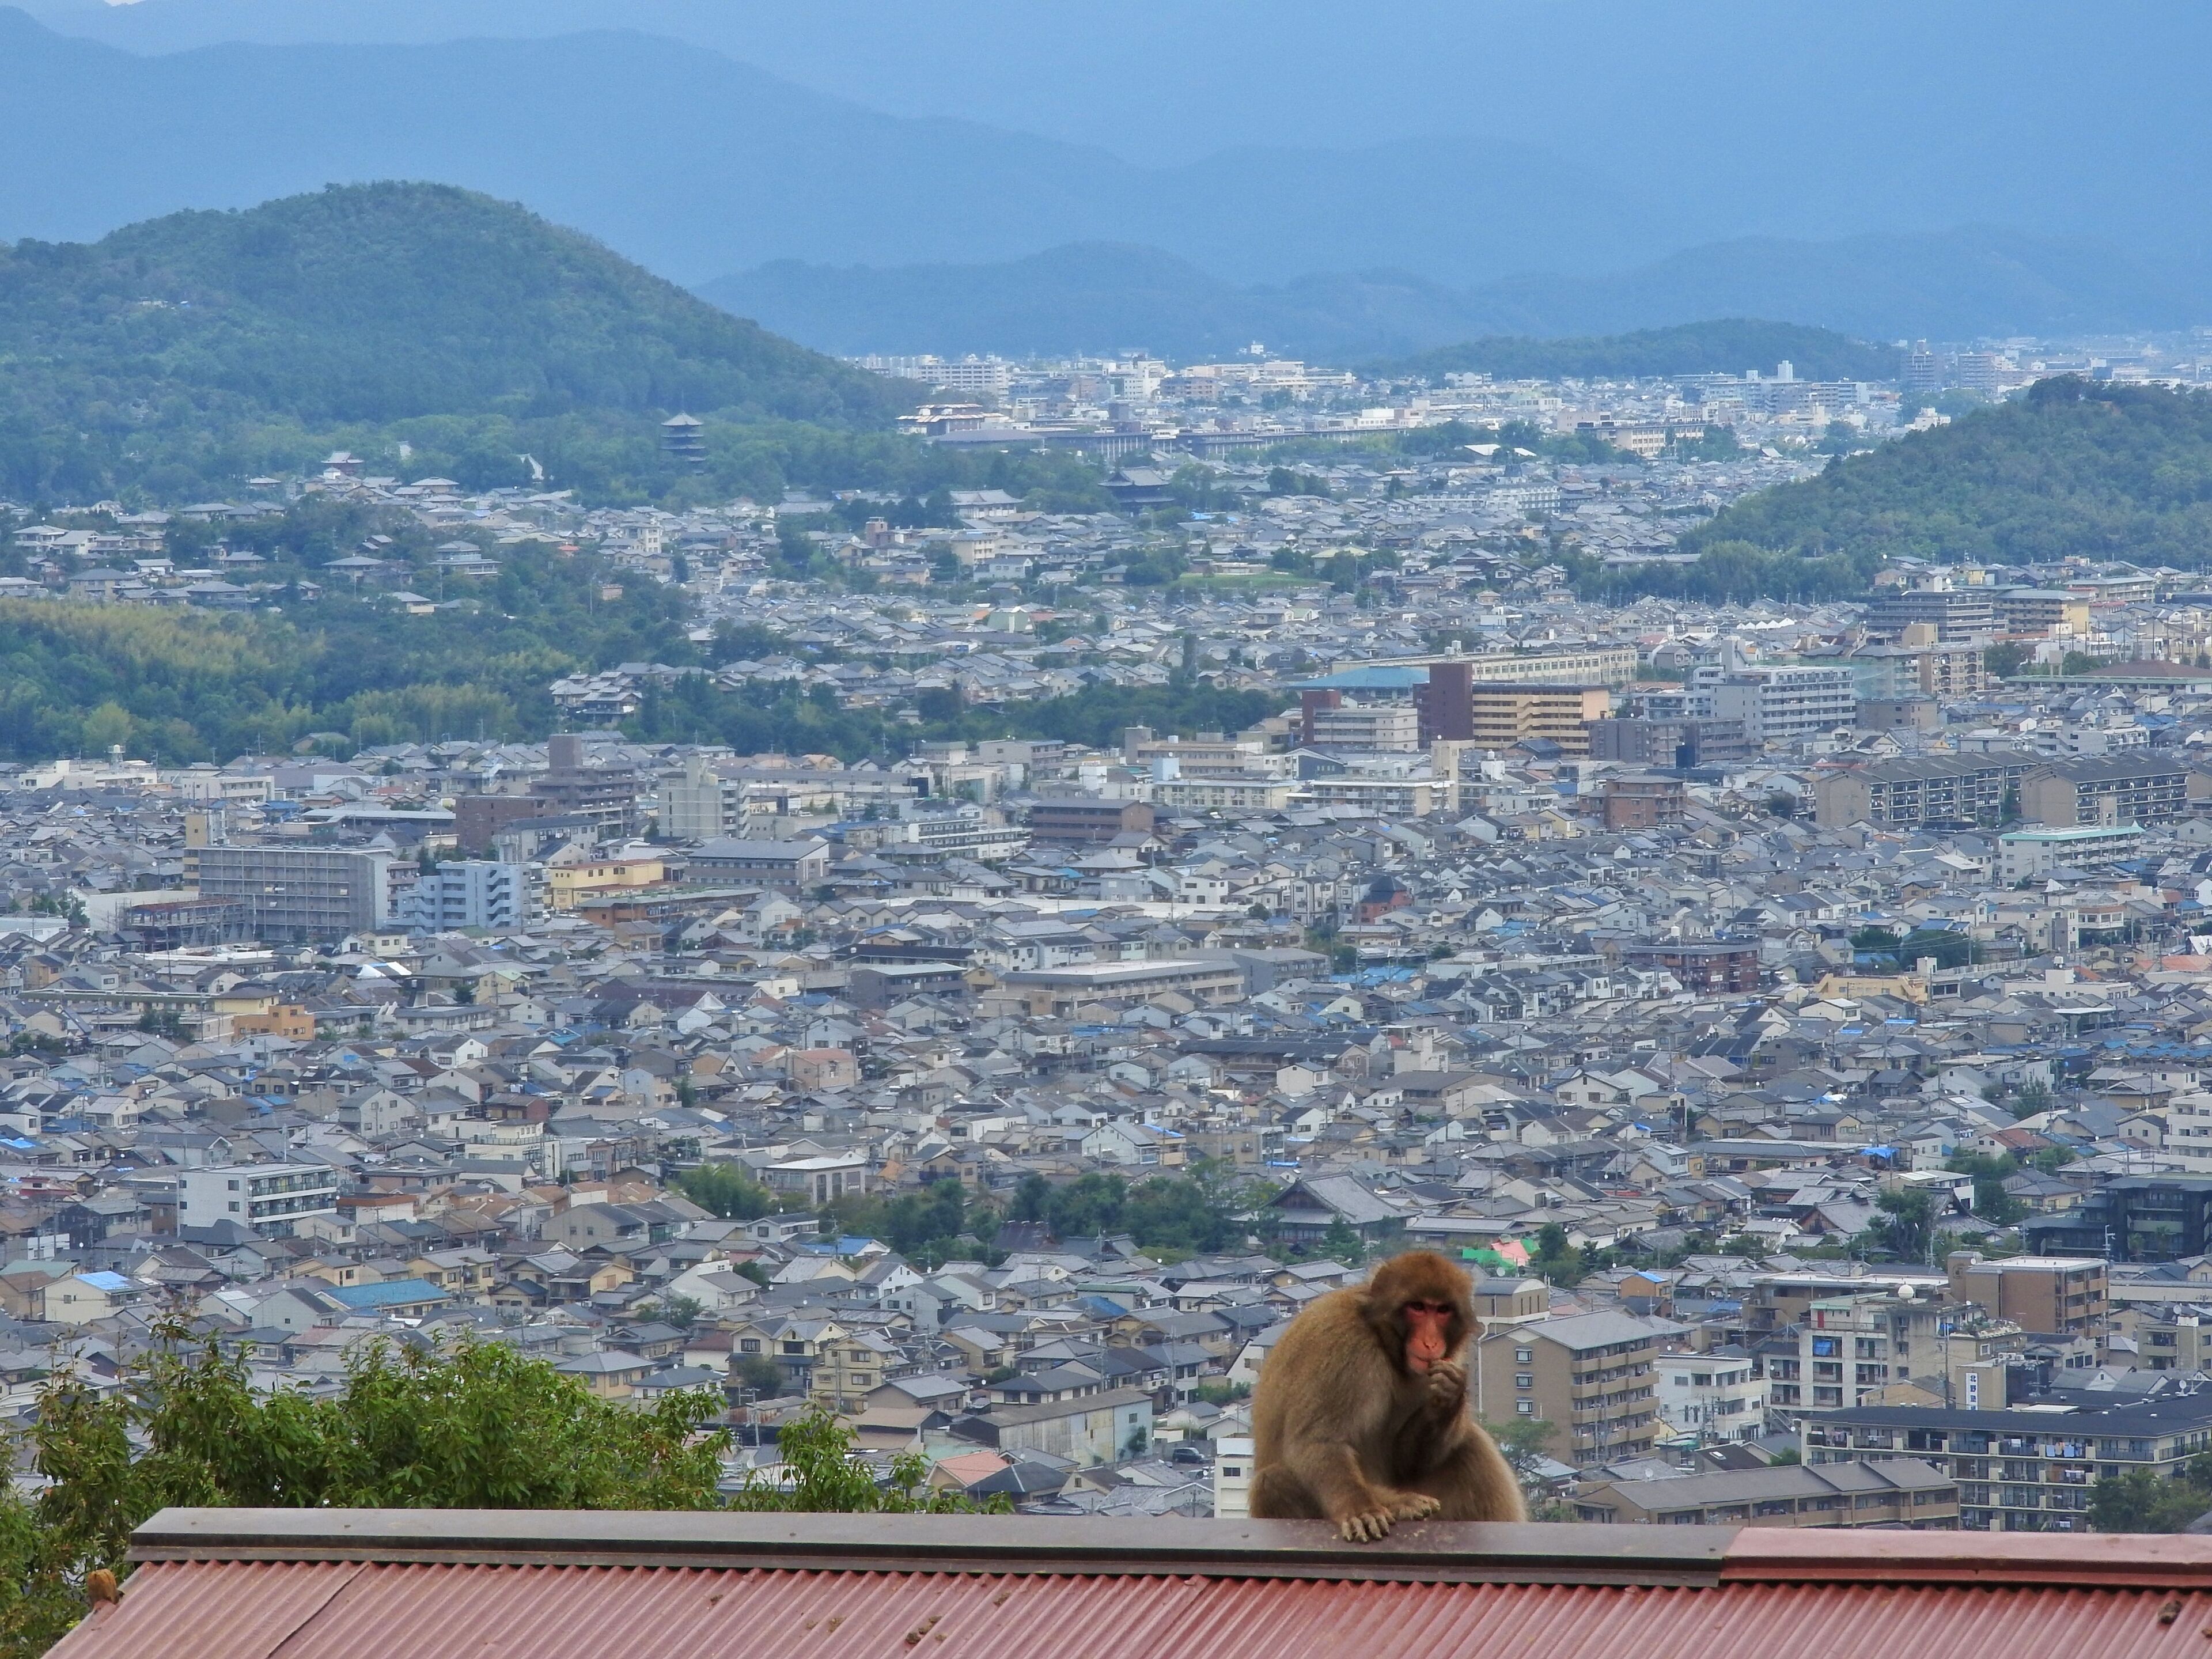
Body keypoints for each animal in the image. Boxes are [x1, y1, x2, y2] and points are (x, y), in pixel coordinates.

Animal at [1248, 1249, 1526, 1541]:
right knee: (1274, 1480)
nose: (1430, 1342)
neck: (1382, 1340)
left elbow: (1406, 1461)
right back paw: (1400, 1504)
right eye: (1417, 1307)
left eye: (1442, 1310)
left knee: (1469, 1444)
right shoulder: (1342, 1343)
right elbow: (1319, 1442)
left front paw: (1449, 1397)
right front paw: (1362, 1508)